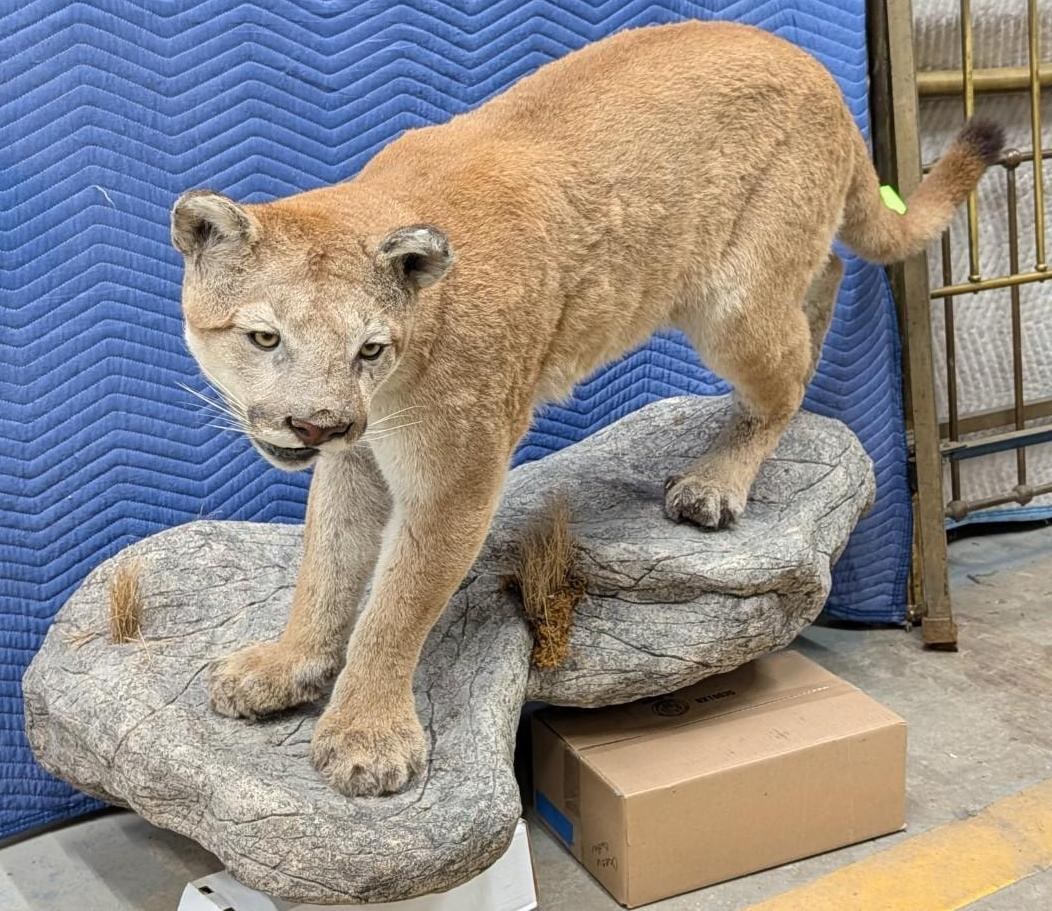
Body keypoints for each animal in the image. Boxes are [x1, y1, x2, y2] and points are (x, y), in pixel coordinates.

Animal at [171, 21, 1002, 796]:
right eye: (265, 336)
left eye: (369, 349)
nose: (317, 423)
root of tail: (816, 69)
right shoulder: (357, 461)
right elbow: (327, 563)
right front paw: (287, 666)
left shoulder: (455, 479)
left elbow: (398, 600)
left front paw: (366, 737)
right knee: (825, 267)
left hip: (733, 306)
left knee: (788, 373)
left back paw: (716, 481)